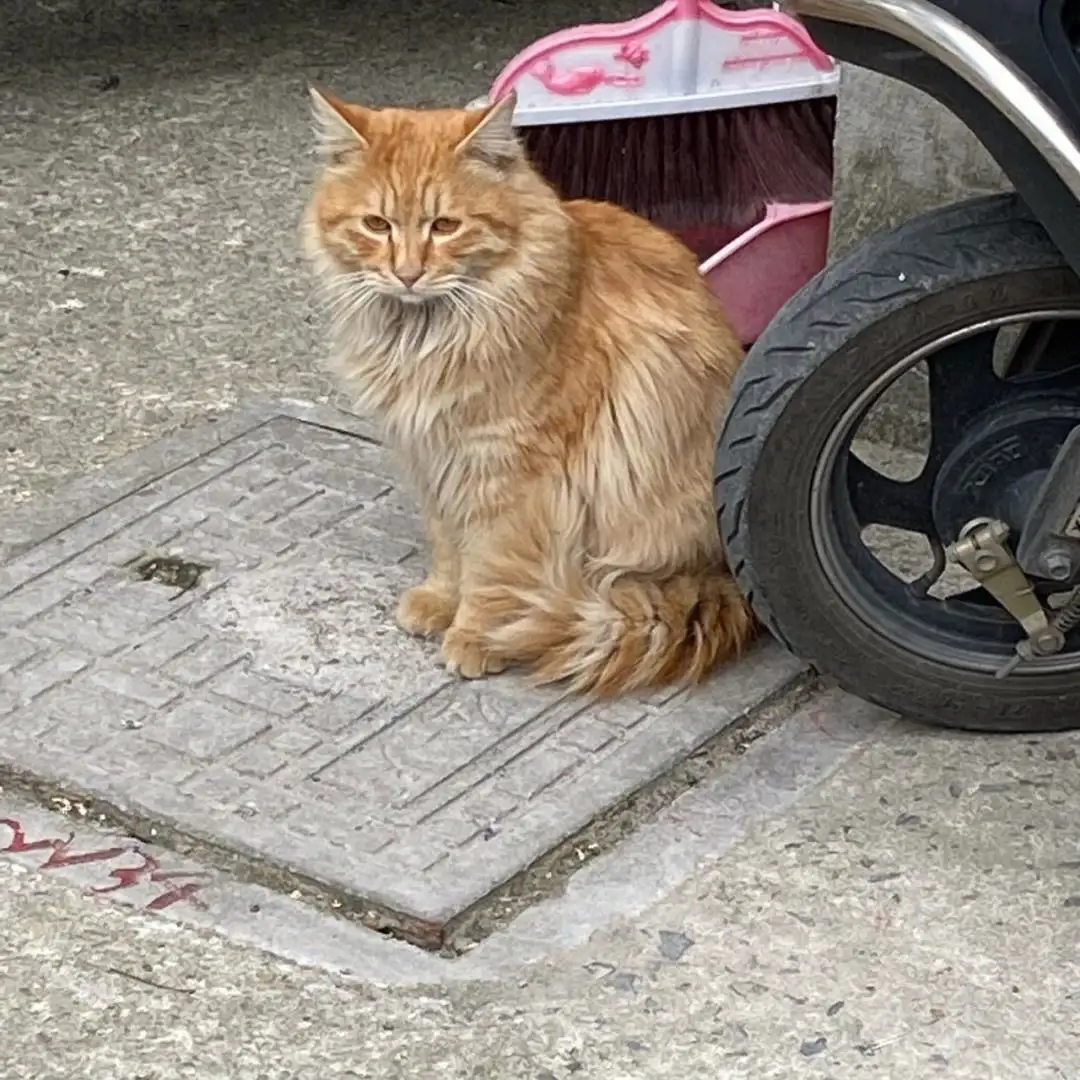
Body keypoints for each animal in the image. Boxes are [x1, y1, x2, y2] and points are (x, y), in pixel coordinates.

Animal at [304, 82, 756, 691]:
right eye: (376, 225)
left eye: (444, 226)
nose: (408, 274)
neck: (425, 337)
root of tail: (724, 577)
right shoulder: (434, 458)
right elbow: (450, 548)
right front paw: (440, 602)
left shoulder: (513, 473)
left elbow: (492, 569)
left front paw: (475, 637)